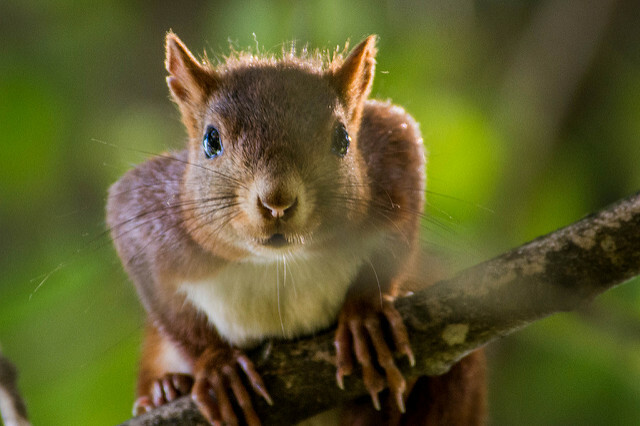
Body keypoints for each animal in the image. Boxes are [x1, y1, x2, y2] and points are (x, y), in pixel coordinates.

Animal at [107, 33, 484, 426]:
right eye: (211, 141)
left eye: (343, 139)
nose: (277, 202)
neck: (278, 262)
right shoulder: (147, 216)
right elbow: (172, 311)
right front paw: (218, 365)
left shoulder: (393, 152)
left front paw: (366, 318)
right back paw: (165, 390)